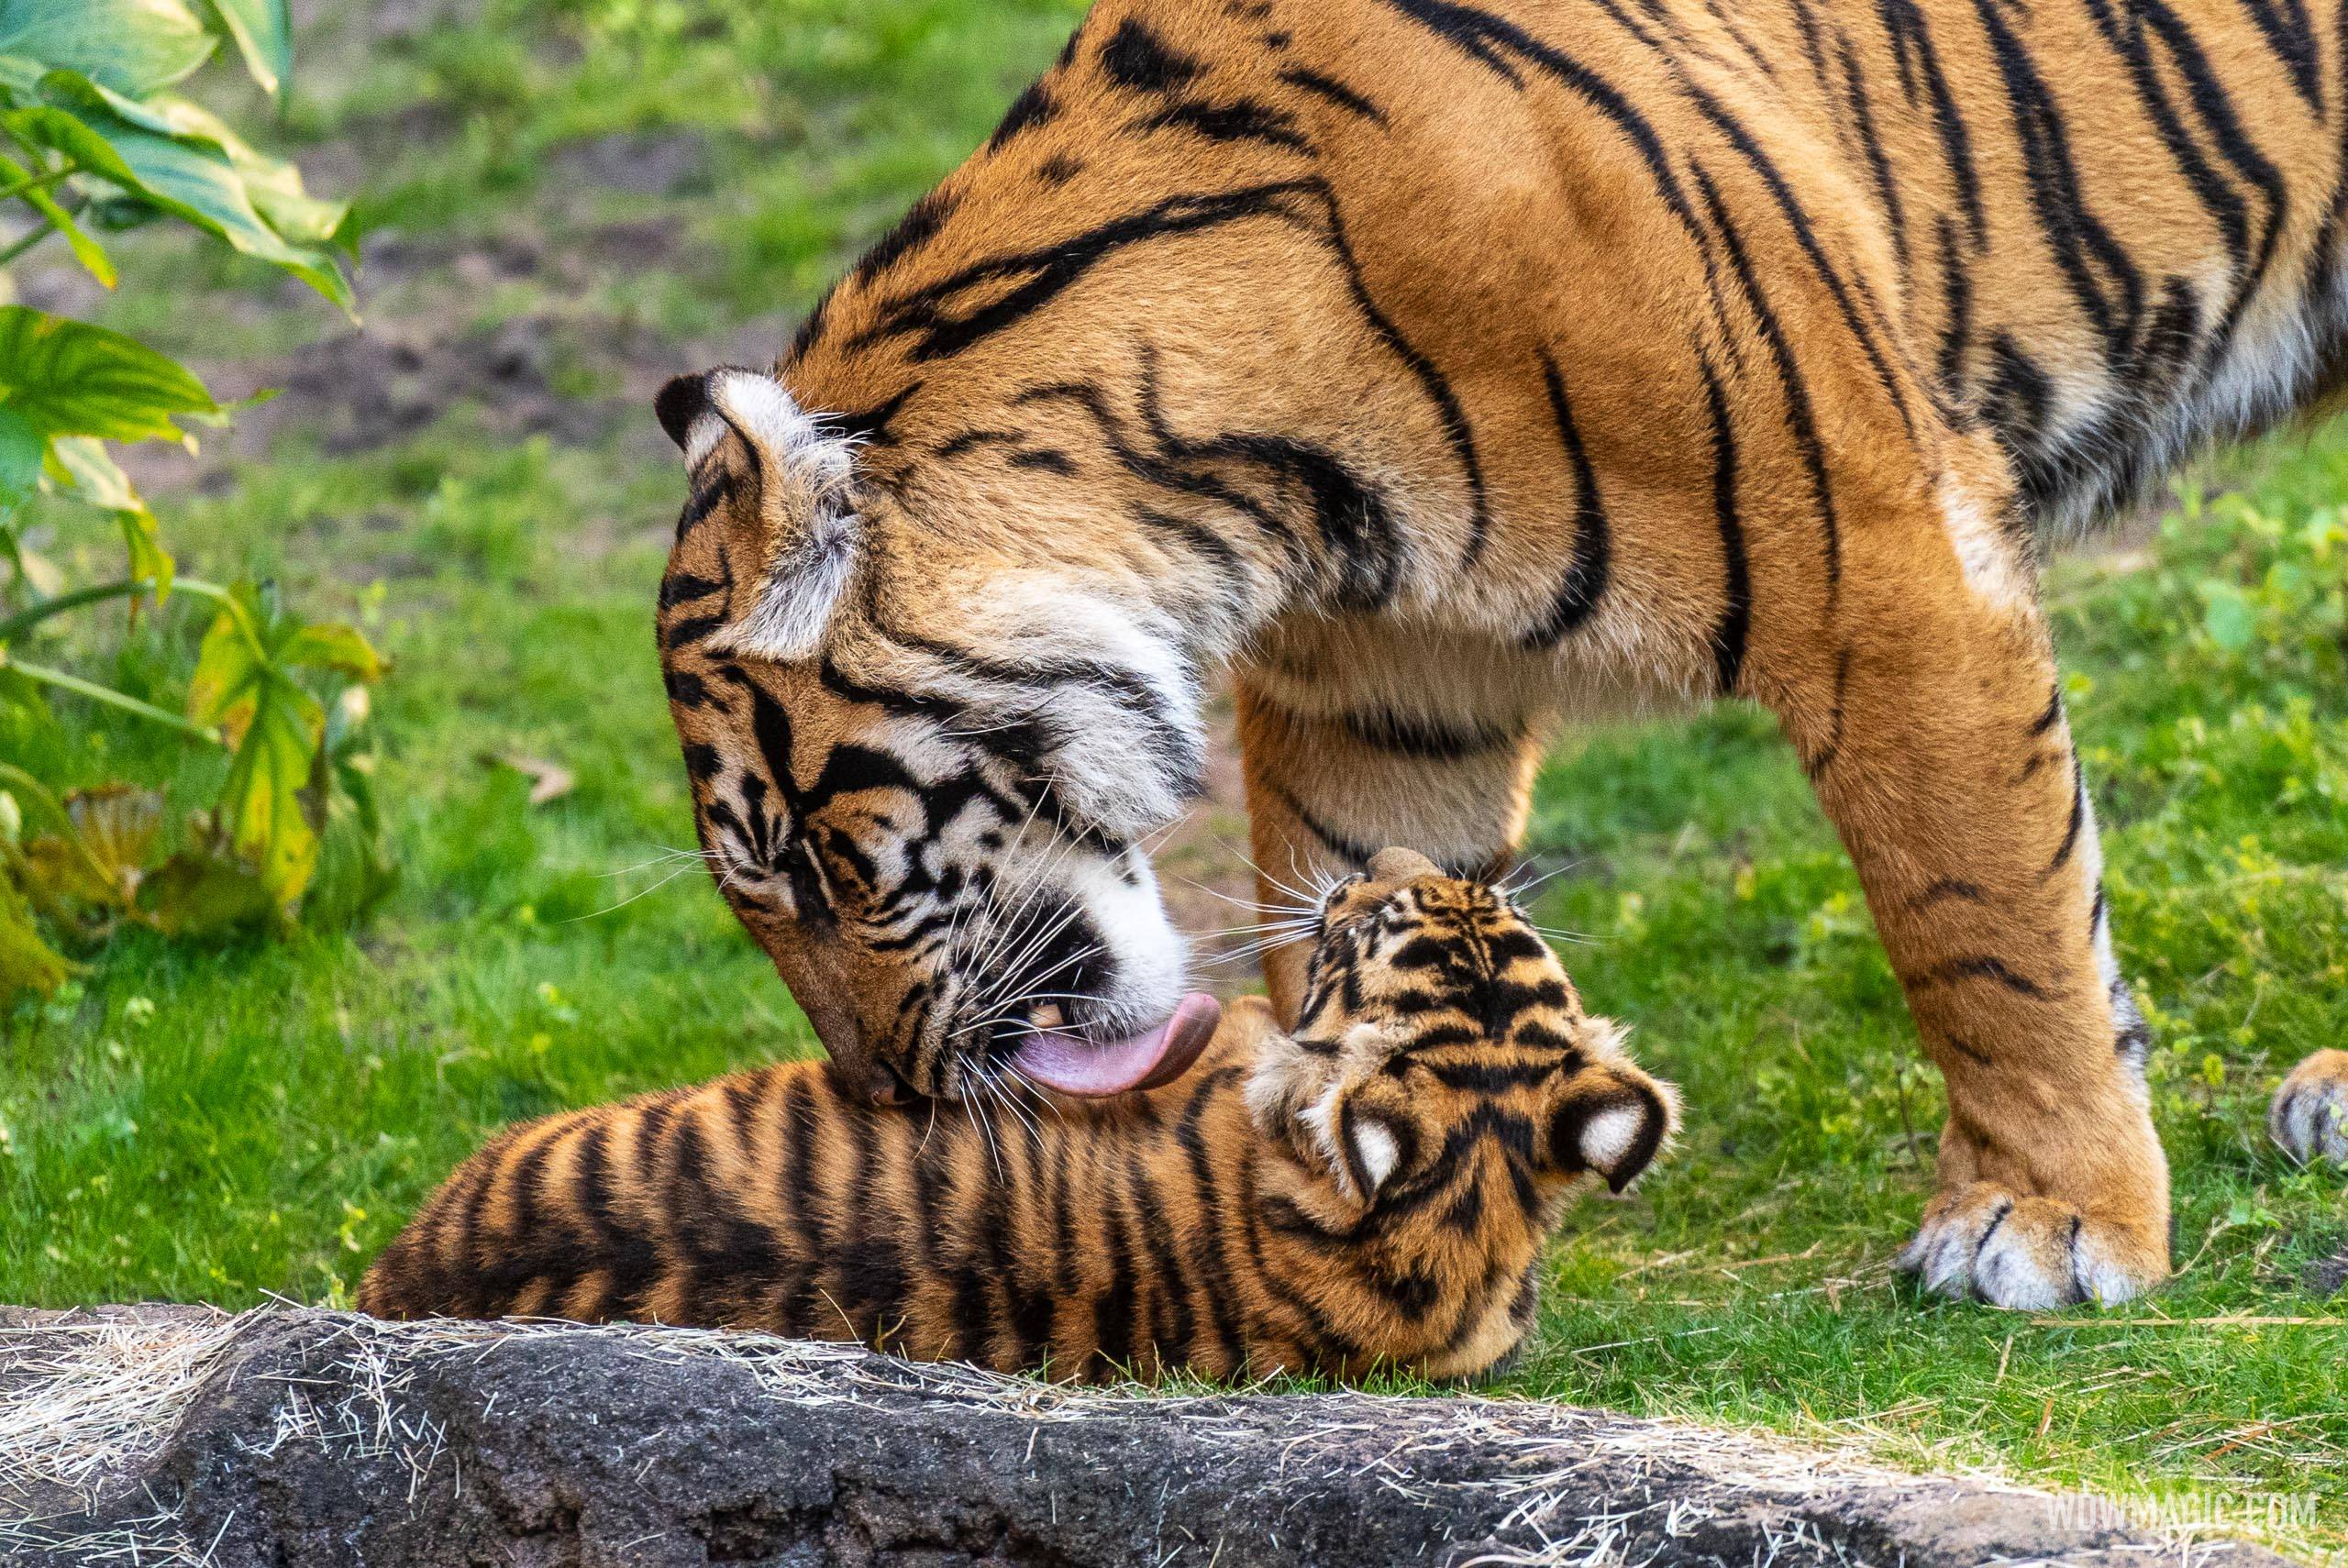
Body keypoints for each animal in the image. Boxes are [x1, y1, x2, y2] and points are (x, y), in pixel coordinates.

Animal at [652, 0, 2348, 1314]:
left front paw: (2045, 1218)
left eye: (807, 866)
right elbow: (1349, 915)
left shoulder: (1886, 569)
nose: (896, 1096)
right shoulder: (1385, 687)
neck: (1263, 483)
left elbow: (1985, 923)